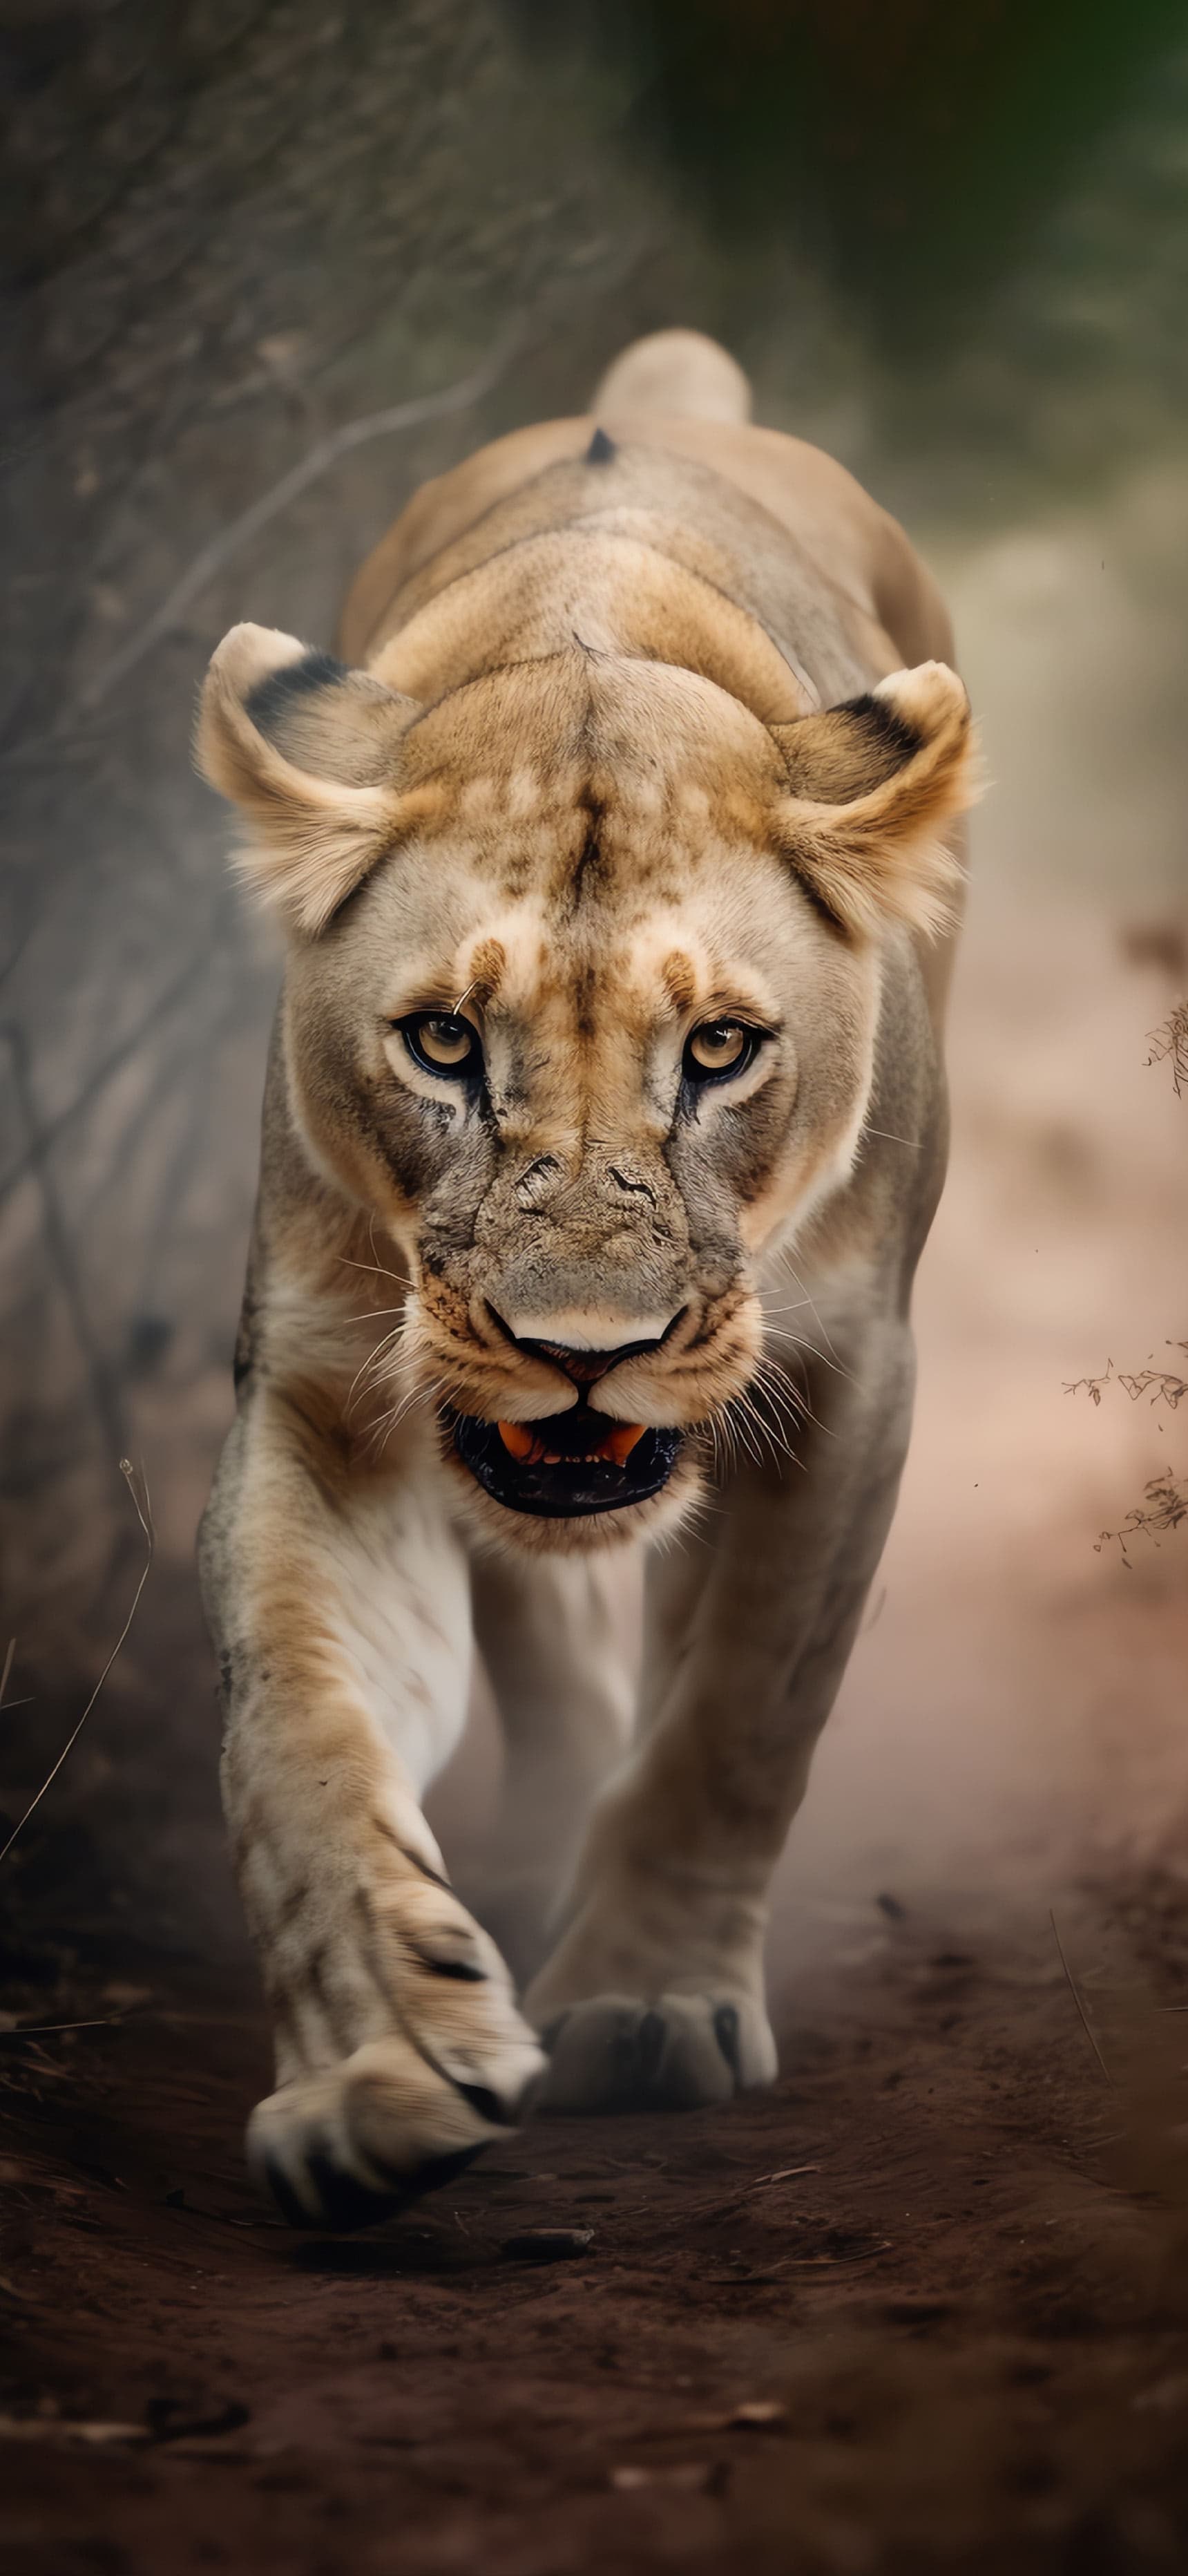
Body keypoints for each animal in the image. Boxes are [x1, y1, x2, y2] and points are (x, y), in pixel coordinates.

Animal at [196, 329, 977, 2229]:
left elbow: (743, 1710)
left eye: (717, 1047)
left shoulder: (848, 1371)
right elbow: (293, 1719)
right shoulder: (327, 1383)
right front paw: (379, 2058)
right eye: (440, 1041)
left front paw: (645, 2001)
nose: (579, 1350)